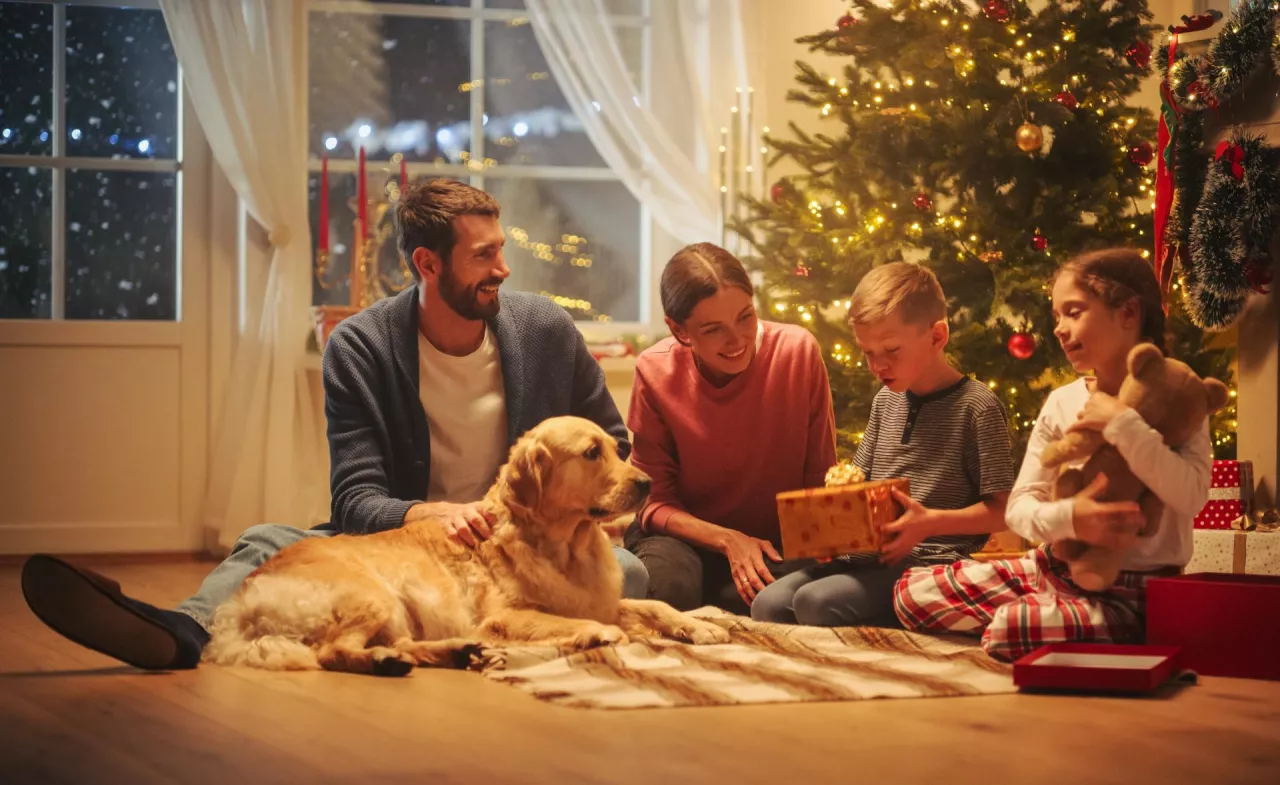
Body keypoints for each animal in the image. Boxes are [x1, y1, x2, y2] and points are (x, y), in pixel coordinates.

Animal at [202, 412, 732, 676]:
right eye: (590, 453)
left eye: (619, 448)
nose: (646, 484)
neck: (565, 546)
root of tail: (238, 605)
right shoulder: (506, 615)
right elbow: (573, 622)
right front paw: (596, 635)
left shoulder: (603, 599)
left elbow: (657, 606)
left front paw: (702, 626)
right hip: (368, 594)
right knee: (332, 652)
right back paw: (387, 661)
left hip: (396, 613)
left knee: (399, 645)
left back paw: (455, 652)